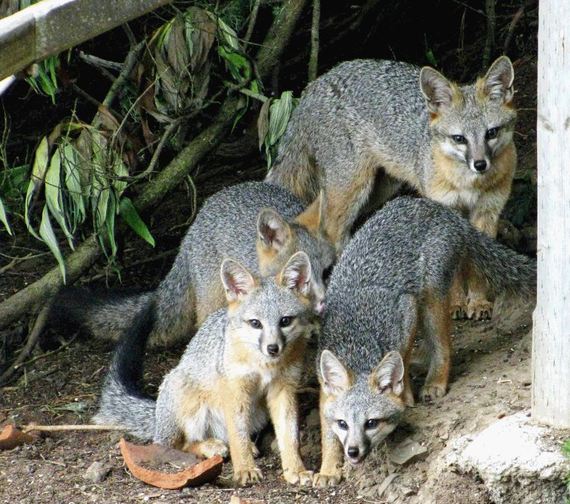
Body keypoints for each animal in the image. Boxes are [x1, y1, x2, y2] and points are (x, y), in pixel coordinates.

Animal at [93, 252, 316, 488]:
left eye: (285, 321)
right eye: (256, 323)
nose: (273, 348)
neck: (265, 365)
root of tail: (156, 416)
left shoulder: (284, 389)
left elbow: (289, 437)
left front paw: (296, 469)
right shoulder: (235, 390)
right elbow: (238, 438)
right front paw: (245, 469)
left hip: (257, 414)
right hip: (187, 400)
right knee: (175, 444)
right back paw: (211, 446)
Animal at [266, 57, 516, 320]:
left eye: (491, 133)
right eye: (459, 138)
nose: (480, 164)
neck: (470, 183)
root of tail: (315, 83)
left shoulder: (487, 212)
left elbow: (480, 264)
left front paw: (478, 303)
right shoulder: (447, 211)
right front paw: (455, 304)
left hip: (379, 190)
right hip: (353, 187)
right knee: (330, 230)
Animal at [310, 195, 532, 486]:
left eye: (371, 423)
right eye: (343, 424)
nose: (353, 451)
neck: (357, 344)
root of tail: (436, 207)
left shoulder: (406, 310)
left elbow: (401, 361)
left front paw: (405, 395)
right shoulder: (324, 391)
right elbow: (326, 433)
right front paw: (328, 469)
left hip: (431, 300)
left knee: (443, 345)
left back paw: (434, 381)